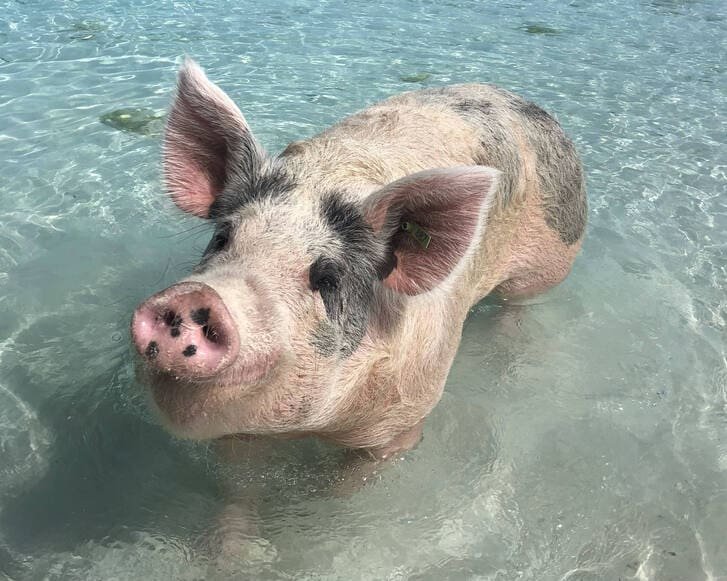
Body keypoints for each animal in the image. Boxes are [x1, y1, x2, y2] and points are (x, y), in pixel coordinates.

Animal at [129, 59, 584, 462]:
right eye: (223, 238)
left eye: (327, 277)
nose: (194, 296)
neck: (309, 428)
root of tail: (517, 98)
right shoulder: (238, 436)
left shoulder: (405, 417)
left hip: (552, 258)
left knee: (518, 303)